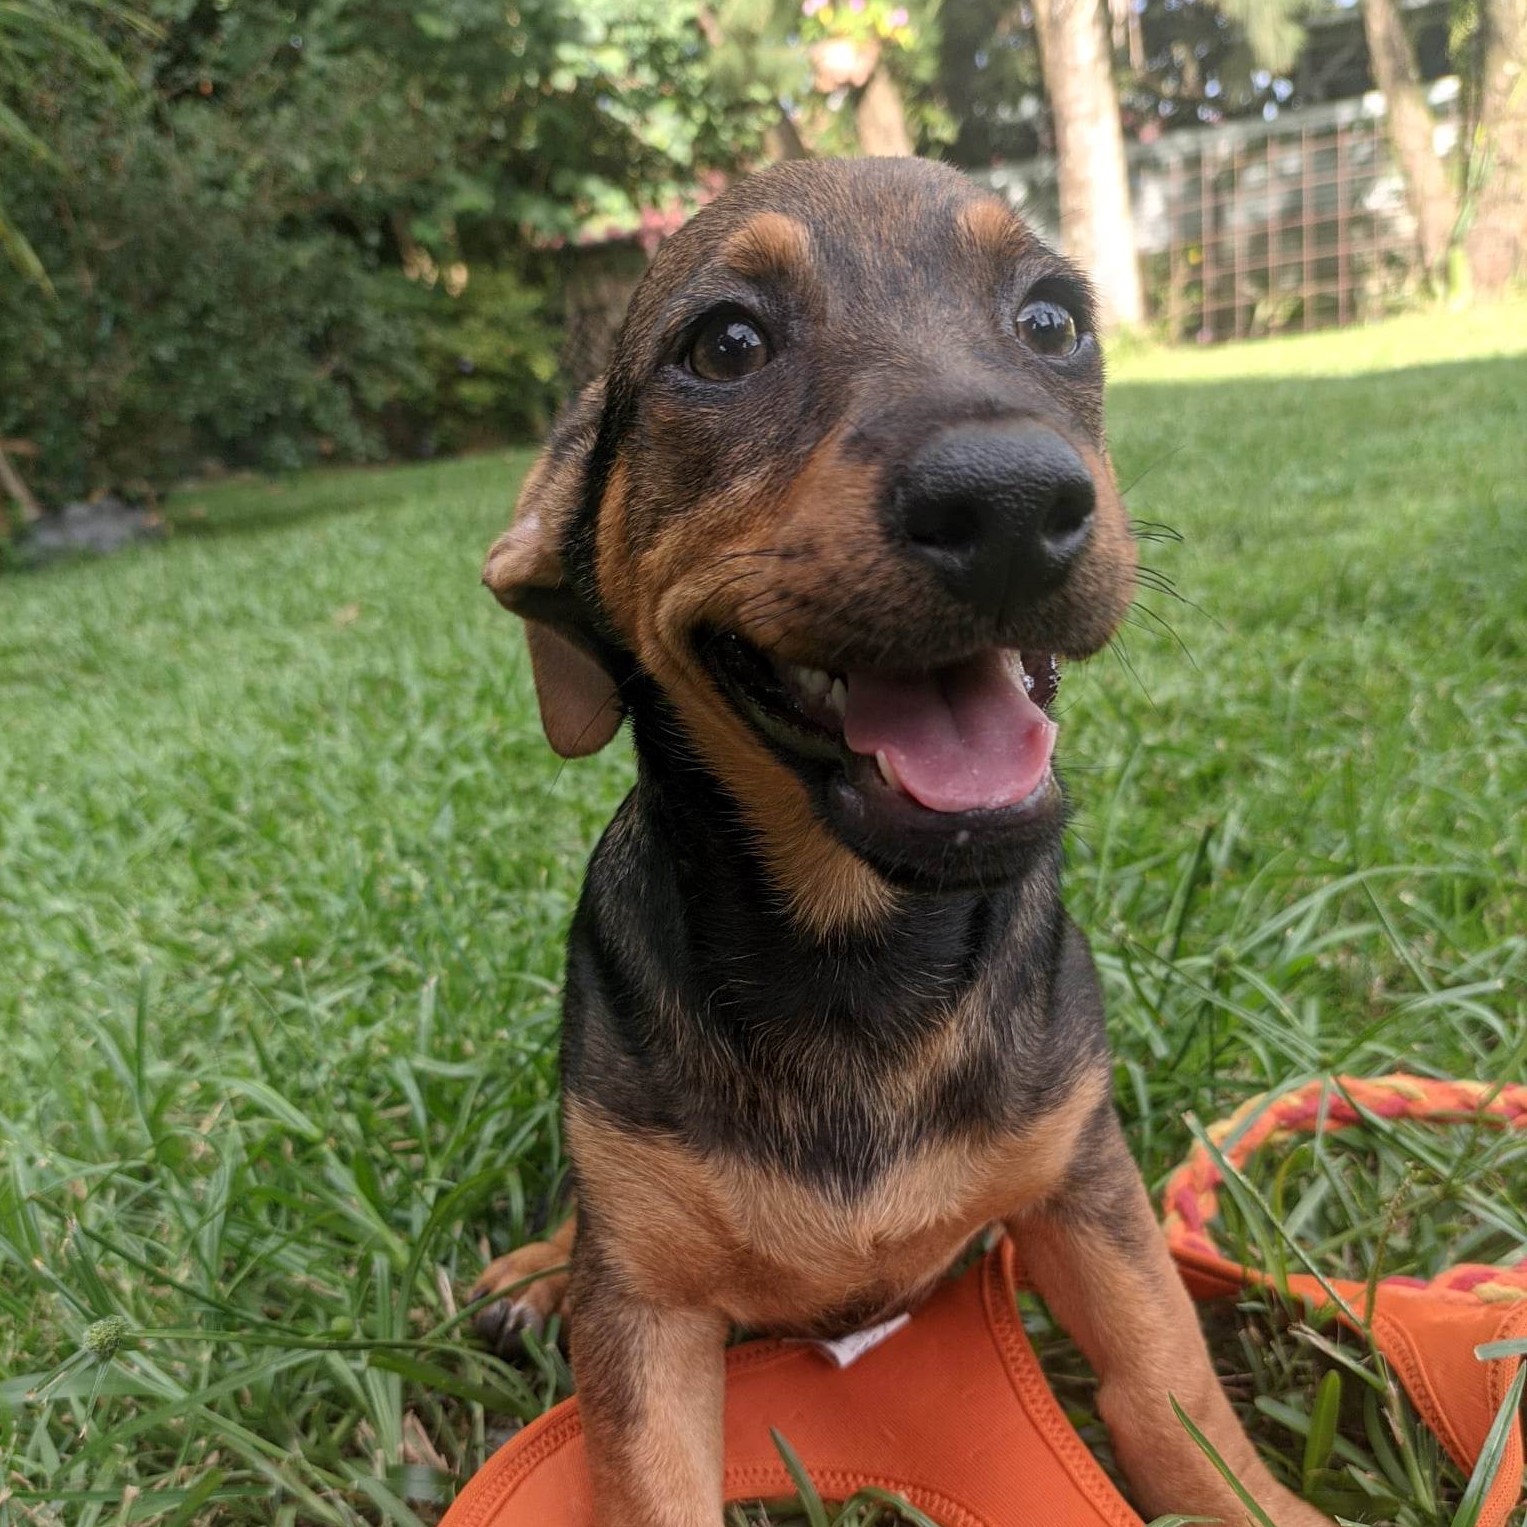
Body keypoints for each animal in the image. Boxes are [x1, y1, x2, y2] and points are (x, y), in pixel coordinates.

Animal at [473, 158, 1325, 1527]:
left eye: (1052, 320)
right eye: (725, 345)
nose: (1014, 505)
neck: (857, 936)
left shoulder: (1085, 1188)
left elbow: (1168, 1387)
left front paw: (1254, 1500)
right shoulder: (648, 1314)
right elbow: (647, 1474)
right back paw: (539, 1272)